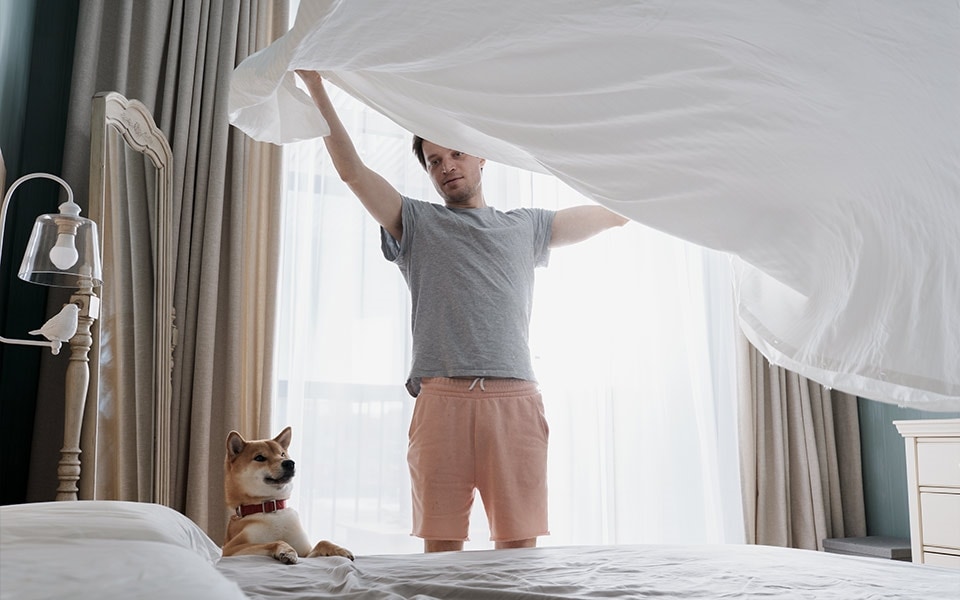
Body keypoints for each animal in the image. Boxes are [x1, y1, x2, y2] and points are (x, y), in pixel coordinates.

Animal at [221, 426, 352, 564]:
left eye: (282, 454)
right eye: (259, 458)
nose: (289, 463)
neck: (272, 508)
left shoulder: (306, 555)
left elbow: (322, 542)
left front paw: (339, 549)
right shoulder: (230, 549)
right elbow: (274, 542)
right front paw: (287, 551)